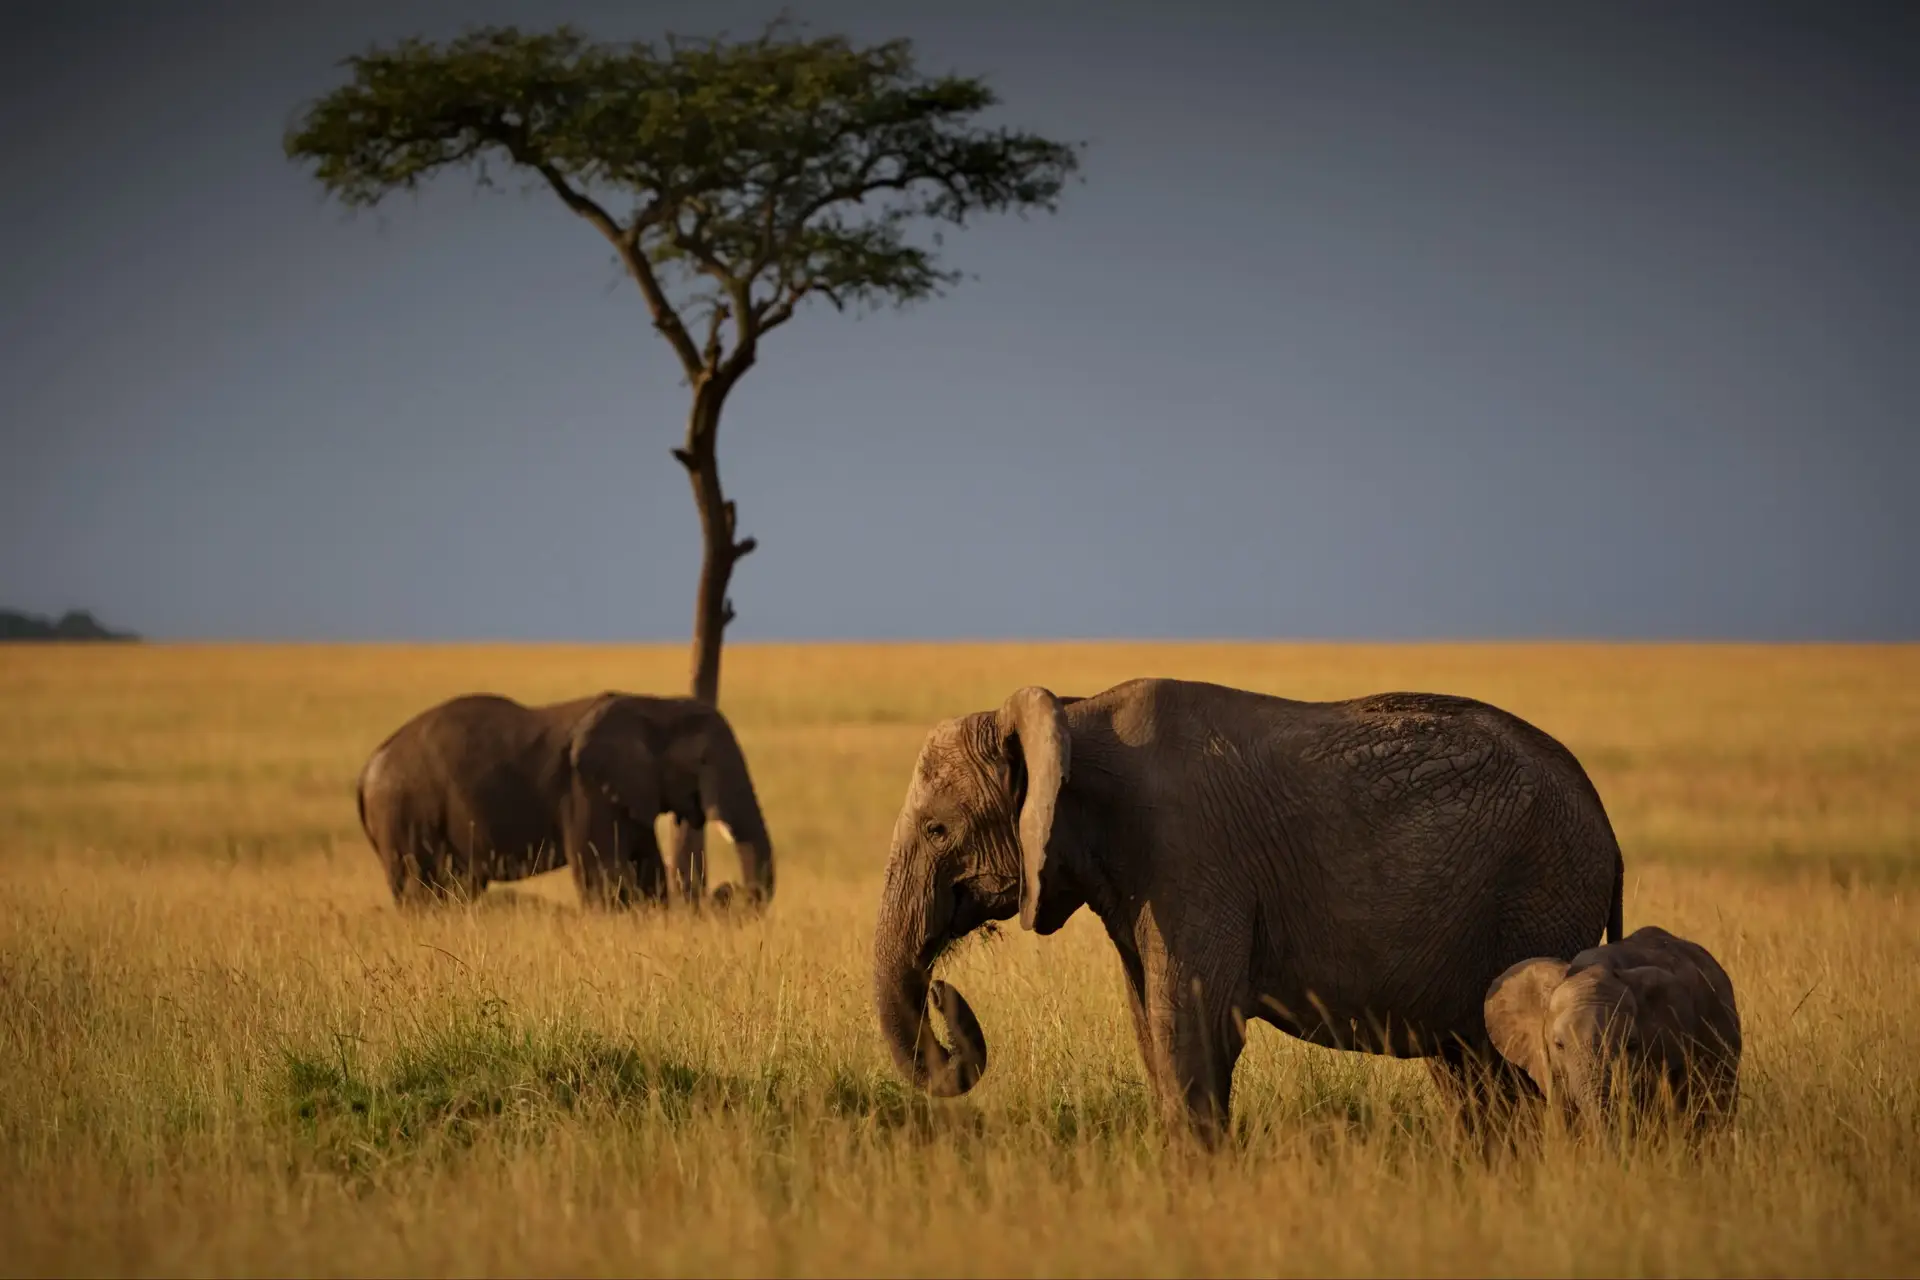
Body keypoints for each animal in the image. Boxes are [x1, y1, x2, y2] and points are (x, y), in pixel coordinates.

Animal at [356, 691, 773, 910]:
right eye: (703, 761)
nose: (726, 891)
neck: (655, 705)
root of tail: (369, 766)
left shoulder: (626, 791)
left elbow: (647, 869)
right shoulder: (585, 789)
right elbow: (602, 875)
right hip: (405, 813)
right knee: (422, 889)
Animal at [872, 679, 1625, 1146]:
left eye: (937, 830)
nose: (944, 992)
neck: (1074, 715)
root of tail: (1607, 828)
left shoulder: (1192, 863)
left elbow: (1189, 1031)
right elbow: (1151, 1029)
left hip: (1542, 895)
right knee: (1473, 1075)